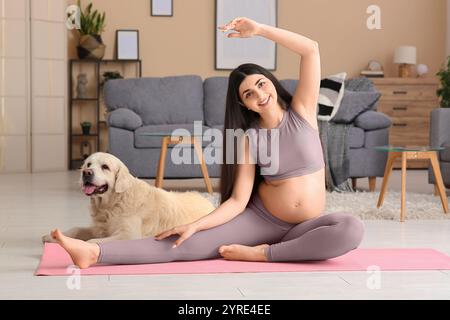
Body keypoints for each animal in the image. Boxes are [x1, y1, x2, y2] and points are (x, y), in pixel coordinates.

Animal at [42, 152, 216, 242]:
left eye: (105, 167)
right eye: (88, 165)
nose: (86, 173)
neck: (111, 205)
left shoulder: (128, 235)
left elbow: (94, 241)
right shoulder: (99, 228)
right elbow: (77, 229)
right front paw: (53, 236)